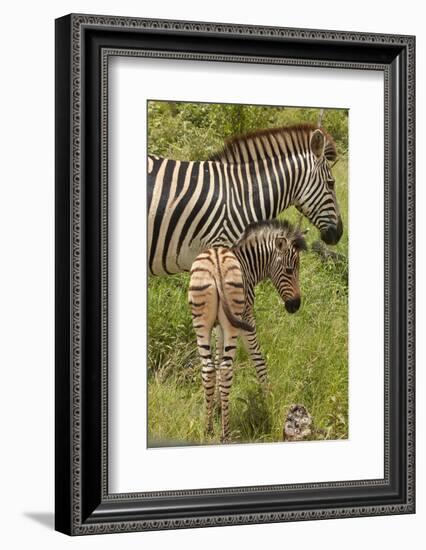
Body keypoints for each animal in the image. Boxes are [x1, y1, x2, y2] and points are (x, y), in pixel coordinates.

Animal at [190, 220, 306, 444]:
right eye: (289, 270)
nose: (295, 306)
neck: (247, 265)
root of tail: (216, 266)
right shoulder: (246, 316)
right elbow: (258, 358)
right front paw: (268, 398)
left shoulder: (218, 326)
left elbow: (216, 358)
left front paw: (217, 405)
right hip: (234, 322)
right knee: (227, 368)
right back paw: (225, 434)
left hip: (201, 321)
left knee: (208, 368)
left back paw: (207, 429)